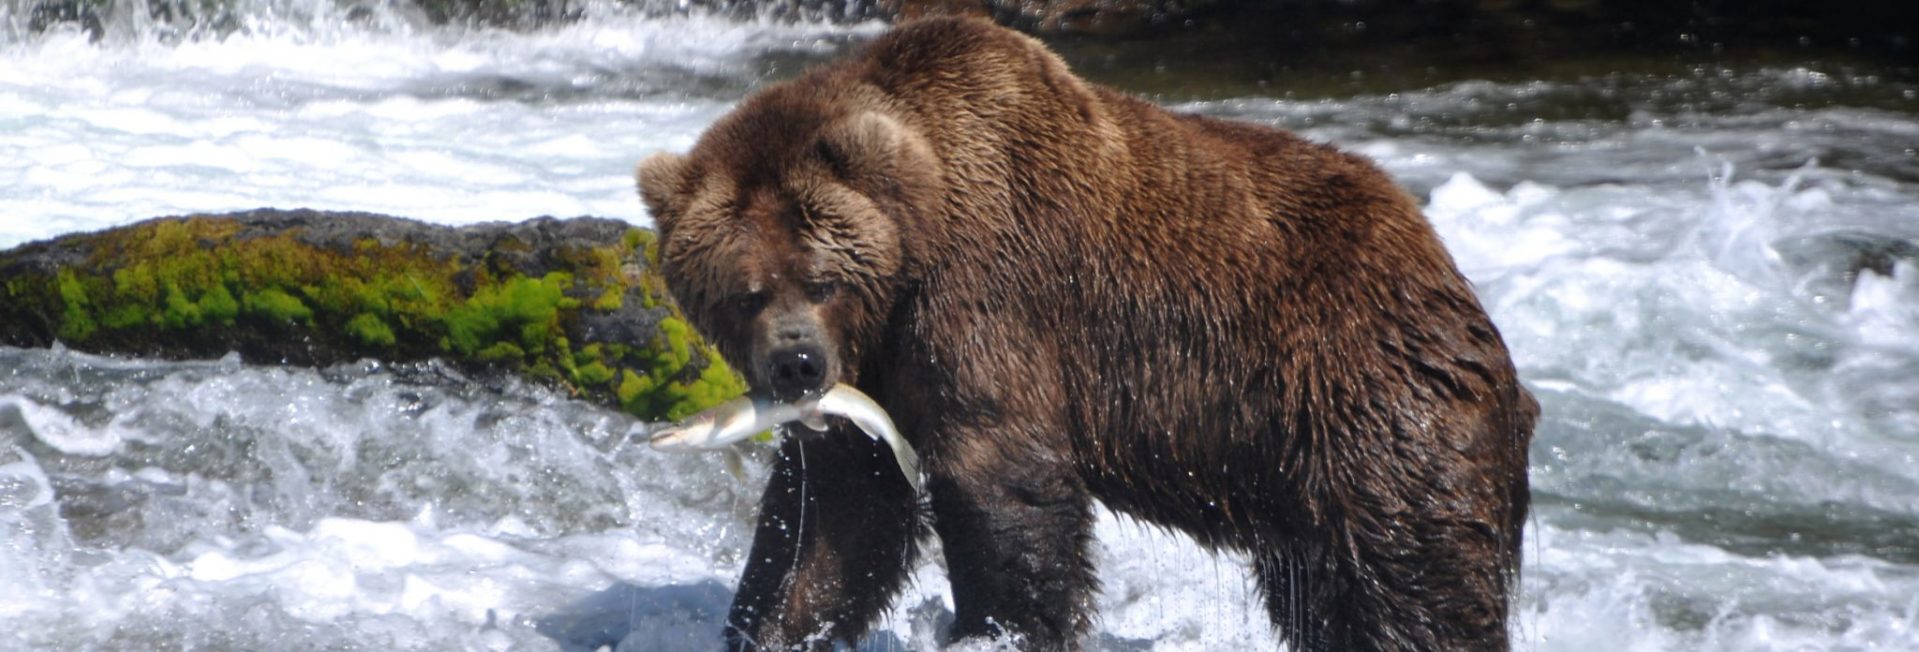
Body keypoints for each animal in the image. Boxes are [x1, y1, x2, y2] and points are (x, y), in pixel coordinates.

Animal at [637, 16, 1535, 652]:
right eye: (742, 293)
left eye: (821, 279)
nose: (796, 364)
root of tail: (1446, 270)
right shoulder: (878, 371)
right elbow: (836, 520)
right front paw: (772, 623)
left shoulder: (991, 292)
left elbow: (1001, 476)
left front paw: (1004, 627)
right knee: (1323, 595)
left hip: (1364, 392)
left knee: (1413, 578)